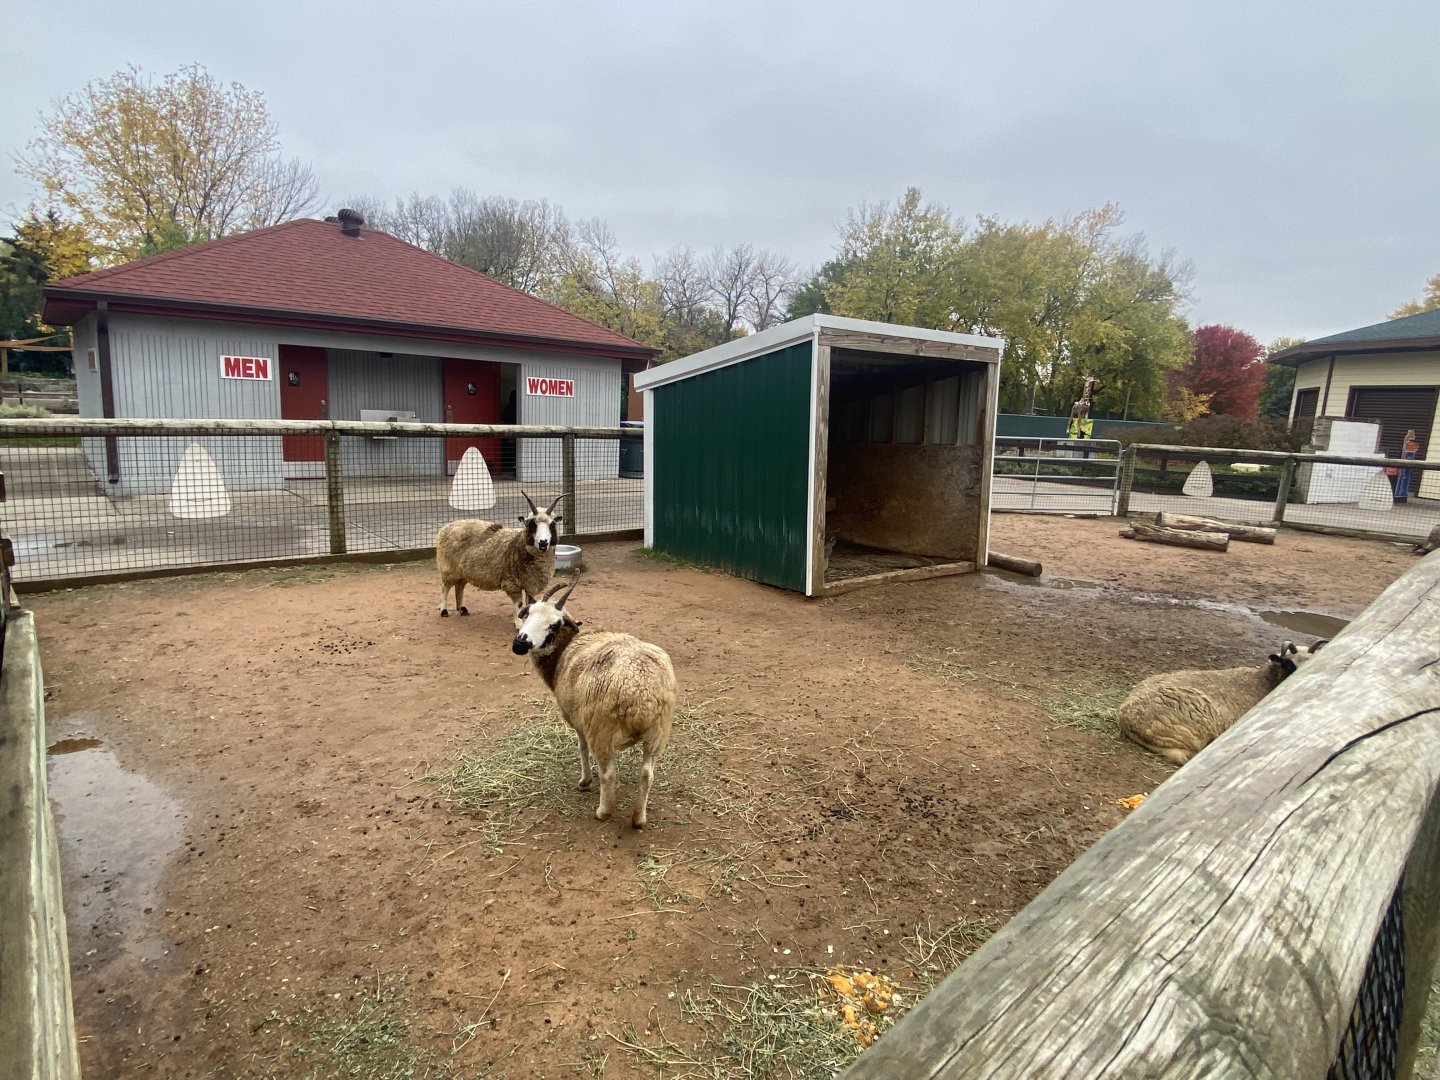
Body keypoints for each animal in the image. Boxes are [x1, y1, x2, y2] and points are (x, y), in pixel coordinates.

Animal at [511, 576, 676, 828]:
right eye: (527, 614)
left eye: (554, 625)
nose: (519, 644)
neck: (565, 647)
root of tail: (641, 693)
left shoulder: (577, 719)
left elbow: (581, 748)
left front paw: (585, 781)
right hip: (658, 733)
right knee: (647, 774)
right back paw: (638, 819)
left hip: (601, 730)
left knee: (609, 774)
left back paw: (603, 811)